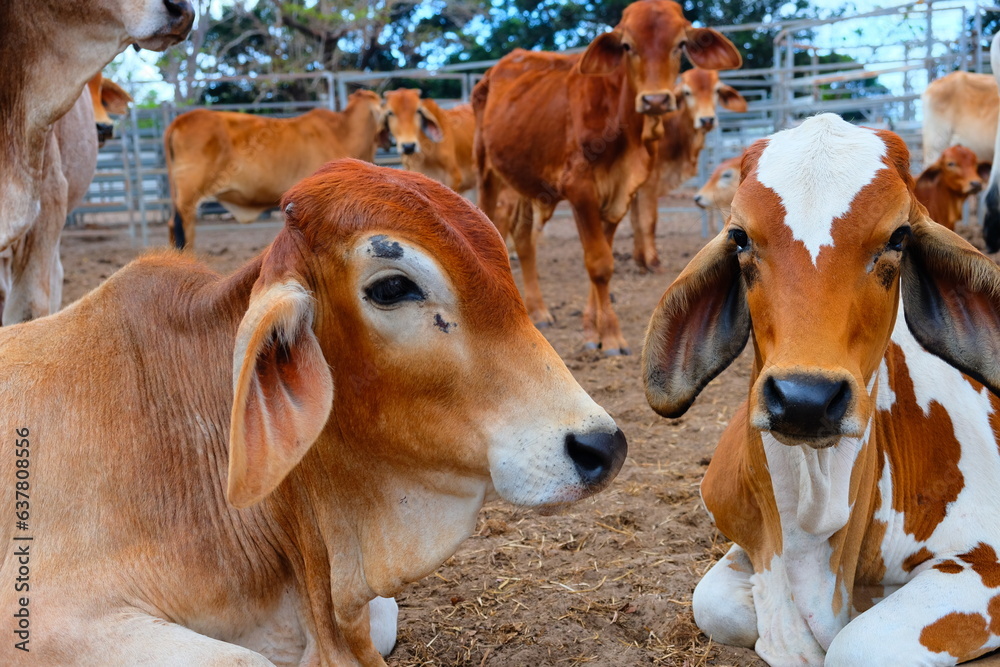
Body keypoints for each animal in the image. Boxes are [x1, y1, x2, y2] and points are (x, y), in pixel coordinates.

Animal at [629, 68, 747, 272]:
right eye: (687, 92)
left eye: (716, 90)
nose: (707, 119)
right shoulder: (647, 184)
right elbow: (647, 221)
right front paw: (653, 262)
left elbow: (636, 221)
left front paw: (640, 261)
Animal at [642, 113, 1000, 665]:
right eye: (739, 237)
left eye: (898, 237)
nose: (804, 399)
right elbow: (716, 604)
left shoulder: (984, 563)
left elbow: (855, 644)